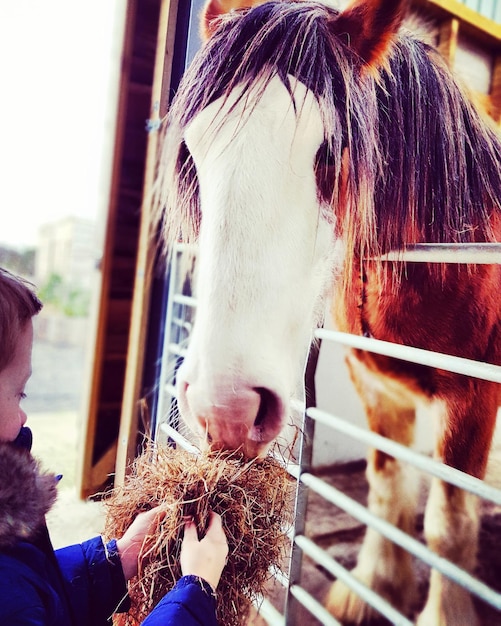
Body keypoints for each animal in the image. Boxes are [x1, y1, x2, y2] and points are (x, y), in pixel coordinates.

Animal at [154, 0, 498, 620]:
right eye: (192, 152)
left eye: (330, 155)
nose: (226, 410)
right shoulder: (379, 389)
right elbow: (387, 486)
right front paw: (375, 586)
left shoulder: (474, 400)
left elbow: (448, 525)